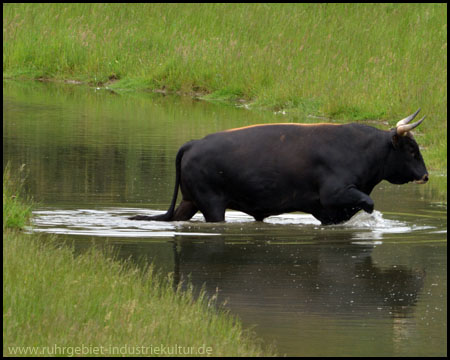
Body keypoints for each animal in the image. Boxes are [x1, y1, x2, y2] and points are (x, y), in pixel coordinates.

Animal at [131, 109, 428, 225]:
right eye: (411, 150)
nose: (425, 176)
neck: (361, 149)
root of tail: (194, 143)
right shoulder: (335, 195)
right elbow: (368, 203)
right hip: (212, 205)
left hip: (190, 201)